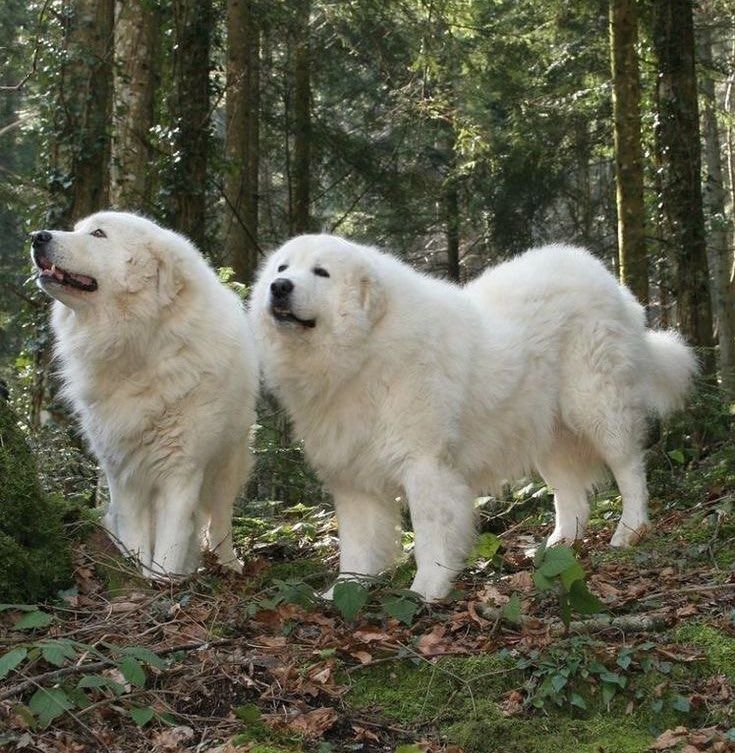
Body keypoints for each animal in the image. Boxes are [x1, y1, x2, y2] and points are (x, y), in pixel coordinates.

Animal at [30, 212, 260, 576]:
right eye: (77, 228)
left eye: (98, 234)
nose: (37, 236)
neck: (140, 345)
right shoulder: (123, 473)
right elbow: (138, 538)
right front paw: (139, 576)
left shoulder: (181, 472)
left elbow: (169, 546)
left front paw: (163, 581)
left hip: (228, 462)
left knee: (221, 519)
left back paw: (228, 563)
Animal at [250, 234, 700, 600]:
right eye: (282, 268)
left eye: (321, 272)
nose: (279, 287)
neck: (363, 348)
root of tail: (603, 276)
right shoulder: (354, 480)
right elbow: (357, 548)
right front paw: (341, 592)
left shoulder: (425, 466)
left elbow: (430, 536)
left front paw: (426, 591)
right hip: (546, 433)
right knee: (571, 495)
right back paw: (557, 546)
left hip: (598, 407)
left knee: (630, 469)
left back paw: (630, 530)